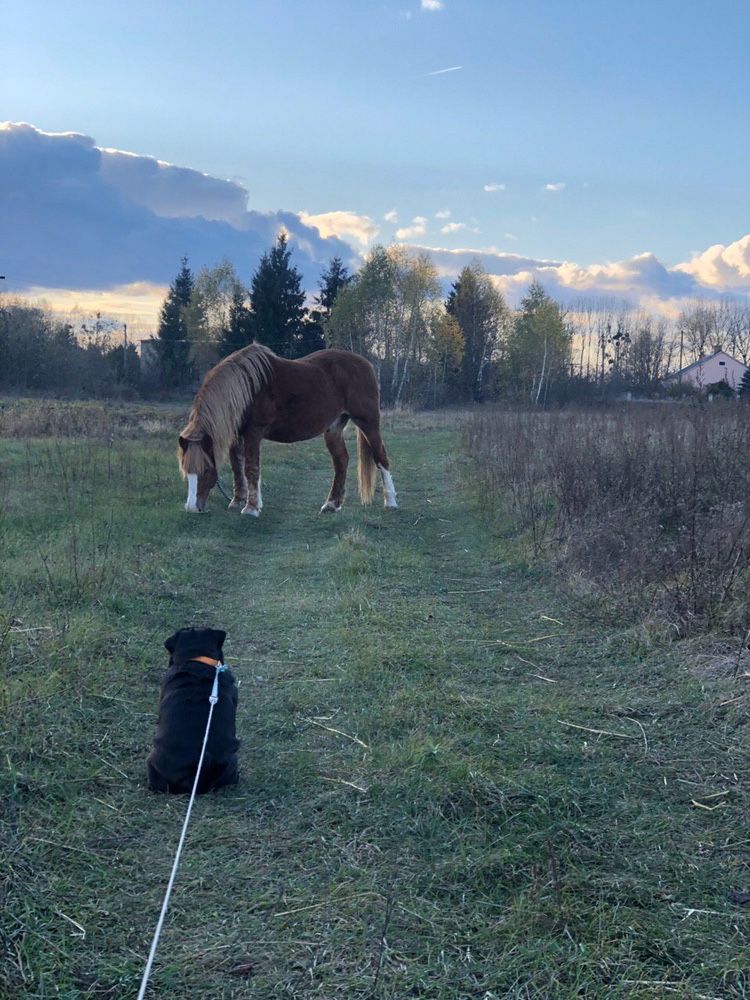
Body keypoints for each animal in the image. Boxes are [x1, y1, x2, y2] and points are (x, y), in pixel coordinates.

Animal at [177, 344, 400, 516]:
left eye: (206, 470)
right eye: (187, 471)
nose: (191, 508)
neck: (245, 388)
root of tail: (366, 364)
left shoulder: (253, 432)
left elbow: (251, 467)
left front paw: (251, 508)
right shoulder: (236, 435)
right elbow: (236, 467)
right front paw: (238, 501)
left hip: (368, 422)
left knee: (381, 457)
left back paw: (391, 502)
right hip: (334, 428)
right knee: (341, 461)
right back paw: (331, 504)